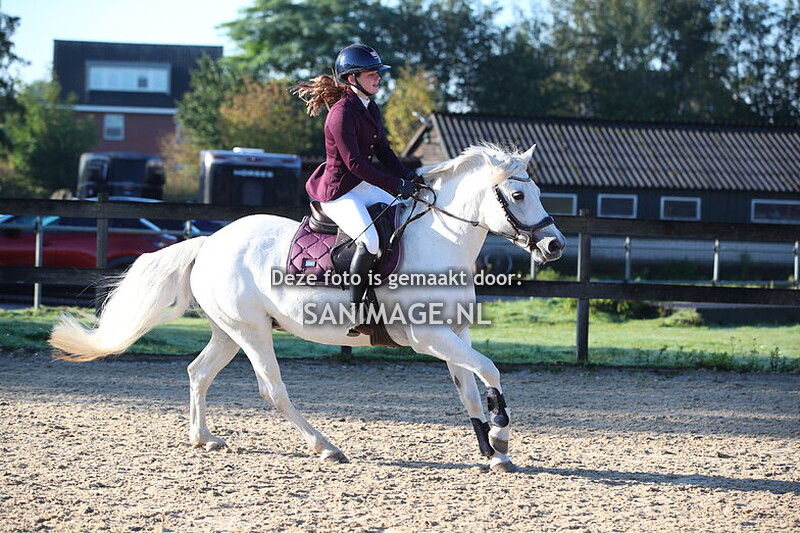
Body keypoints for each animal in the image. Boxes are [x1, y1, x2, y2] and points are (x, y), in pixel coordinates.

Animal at [50, 143, 566, 472]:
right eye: (518, 194)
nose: (555, 246)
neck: (439, 240)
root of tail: (210, 241)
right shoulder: (429, 338)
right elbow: (491, 371)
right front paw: (501, 435)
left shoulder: (455, 335)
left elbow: (470, 391)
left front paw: (493, 452)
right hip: (253, 332)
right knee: (272, 390)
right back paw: (326, 447)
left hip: (230, 330)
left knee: (199, 372)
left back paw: (204, 438)